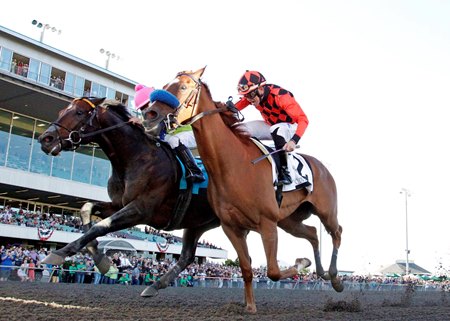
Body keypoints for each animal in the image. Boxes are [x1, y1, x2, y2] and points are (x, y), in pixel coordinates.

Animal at [37, 96, 220, 294]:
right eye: (61, 111)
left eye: (79, 112)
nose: (45, 139)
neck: (136, 158)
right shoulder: (118, 204)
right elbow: (87, 210)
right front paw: (101, 259)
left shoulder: (141, 210)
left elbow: (100, 226)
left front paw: (60, 252)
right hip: (198, 223)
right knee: (187, 256)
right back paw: (154, 286)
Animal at [145, 69, 344, 312]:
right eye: (165, 85)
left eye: (183, 87)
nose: (150, 114)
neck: (232, 165)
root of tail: (322, 167)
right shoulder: (232, 227)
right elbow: (247, 268)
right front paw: (250, 306)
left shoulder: (267, 224)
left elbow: (273, 271)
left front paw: (298, 266)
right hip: (289, 221)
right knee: (313, 233)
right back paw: (320, 270)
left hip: (325, 212)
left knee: (337, 232)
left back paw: (335, 278)